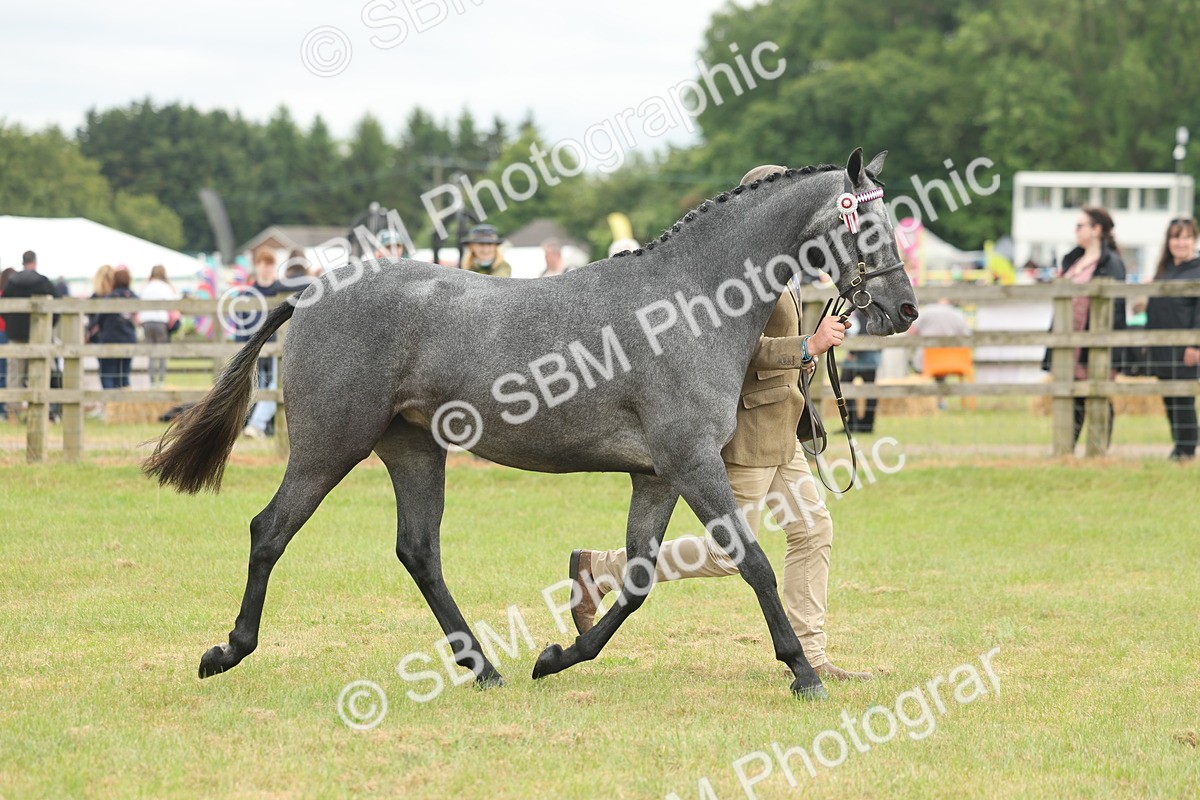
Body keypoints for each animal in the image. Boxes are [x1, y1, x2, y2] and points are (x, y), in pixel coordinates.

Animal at [144, 148, 918, 699]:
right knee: (270, 531)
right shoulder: (693, 465)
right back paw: (225, 652)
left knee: (418, 552)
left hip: (414, 451)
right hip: (328, 447)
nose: (905, 309)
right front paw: (804, 672)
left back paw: (484, 668)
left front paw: (557, 655)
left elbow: (639, 577)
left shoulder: (657, 476)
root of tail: (311, 293)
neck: (688, 303)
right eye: (870, 226)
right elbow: (753, 562)